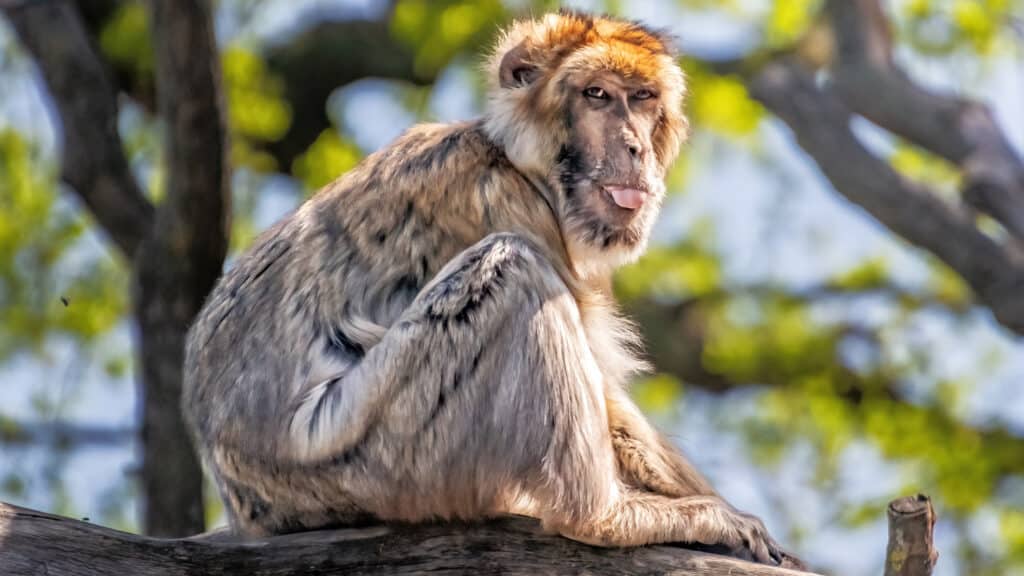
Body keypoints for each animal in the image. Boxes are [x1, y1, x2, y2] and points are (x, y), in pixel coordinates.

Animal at [183, 11, 800, 568]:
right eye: (597, 95)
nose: (633, 147)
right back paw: (600, 517)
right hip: (373, 454)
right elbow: (601, 389)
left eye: (643, 97)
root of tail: (248, 502)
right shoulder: (507, 202)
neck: (519, 162)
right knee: (511, 269)